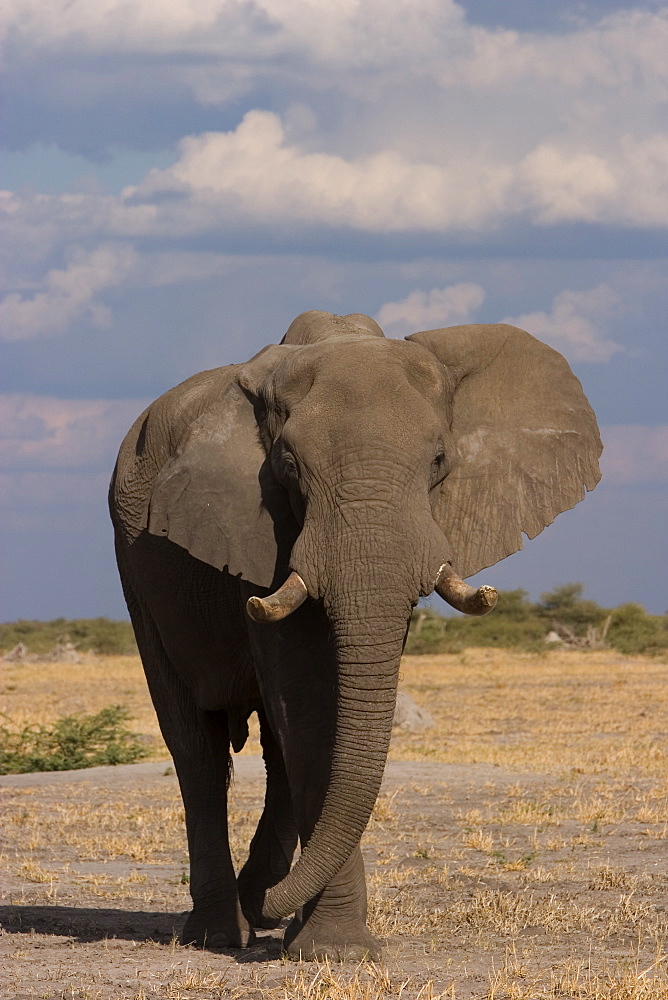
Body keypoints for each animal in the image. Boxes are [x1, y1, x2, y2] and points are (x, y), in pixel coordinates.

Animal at [109, 310, 600, 960]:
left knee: (271, 751)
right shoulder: (261, 528)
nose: (269, 901)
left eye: (439, 460)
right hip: (132, 565)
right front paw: (334, 951)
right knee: (197, 748)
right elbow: (309, 699)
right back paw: (221, 931)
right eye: (289, 465)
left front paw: (318, 940)